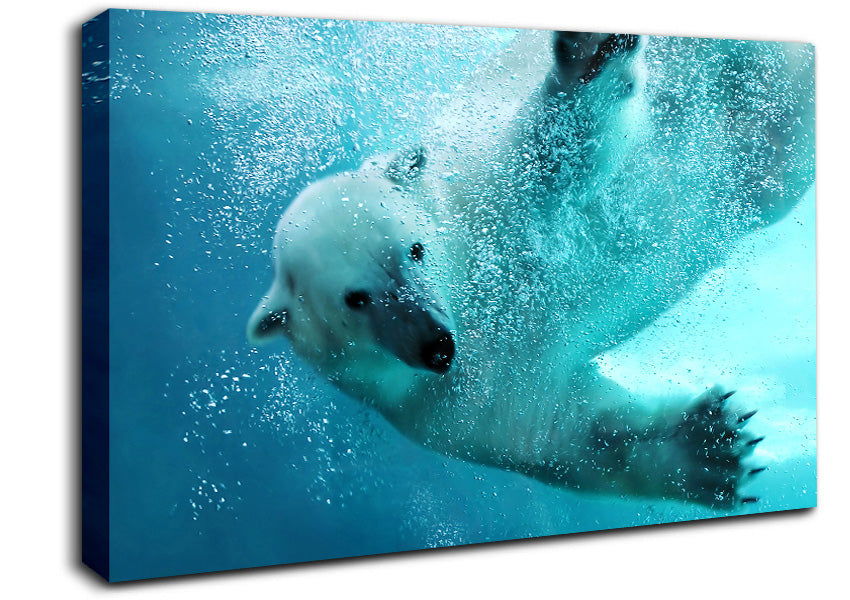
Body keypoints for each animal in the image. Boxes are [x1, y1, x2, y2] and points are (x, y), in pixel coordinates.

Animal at [247, 29, 814, 508]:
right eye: (356, 299)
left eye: (414, 250)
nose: (437, 346)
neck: (471, 285)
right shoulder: (449, 404)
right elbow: (567, 433)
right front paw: (712, 448)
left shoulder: (490, 187)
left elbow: (562, 147)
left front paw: (588, 53)